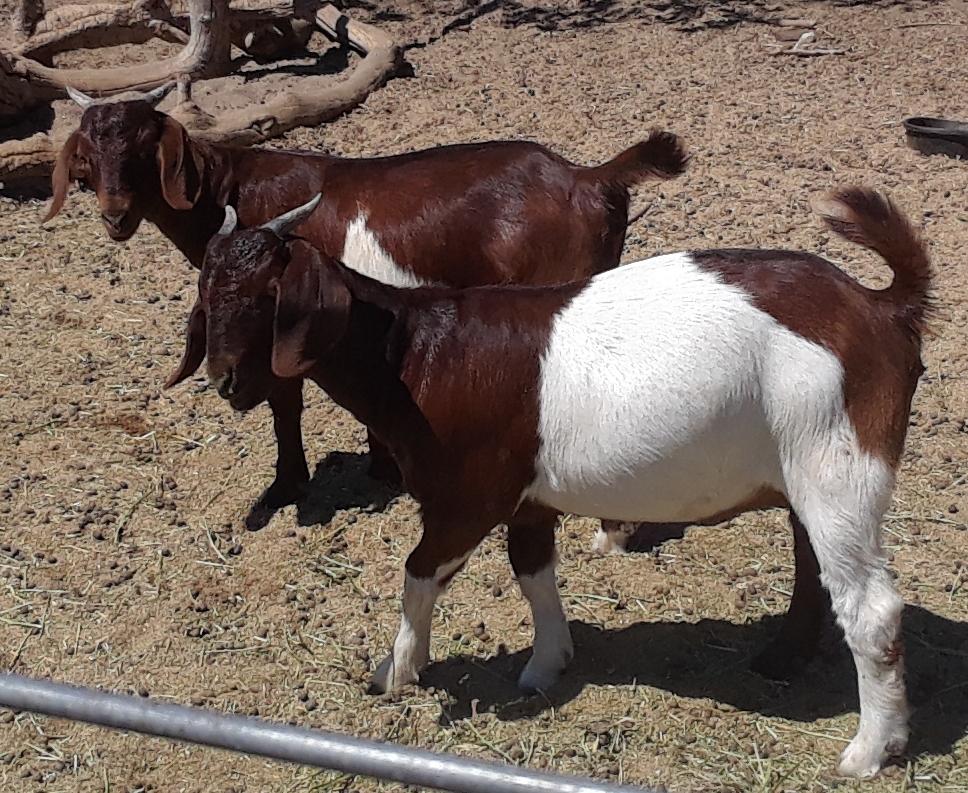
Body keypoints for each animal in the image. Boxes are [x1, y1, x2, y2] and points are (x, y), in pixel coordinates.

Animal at [45, 85, 692, 508]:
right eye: (90, 154)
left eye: (140, 148)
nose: (115, 215)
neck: (236, 188)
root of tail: (588, 176)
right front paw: (380, 467)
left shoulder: (283, 329)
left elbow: (285, 401)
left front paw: (291, 483)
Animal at [170, 189, 932, 776]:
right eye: (208, 290)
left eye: (267, 296)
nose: (226, 381)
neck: (418, 354)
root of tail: (882, 305)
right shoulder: (528, 497)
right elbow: (532, 569)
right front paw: (546, 663)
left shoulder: (468, 494)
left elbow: (419, 571)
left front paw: (398, 670)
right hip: (808, 468)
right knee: (814, 570)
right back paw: (781, 661)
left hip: (838, 465)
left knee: (871, 608)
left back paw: (870, 749)